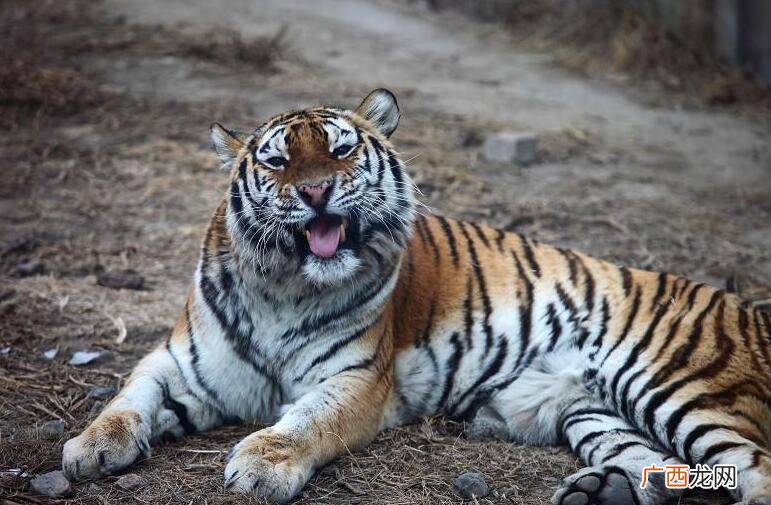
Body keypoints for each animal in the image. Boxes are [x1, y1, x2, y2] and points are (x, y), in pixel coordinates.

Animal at [62, 89, 771, 505]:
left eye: (341, 150)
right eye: (278, 162)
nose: (316, 190)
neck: (282, 287)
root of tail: (751, 310)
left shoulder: (357, 378)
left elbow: (308, 420)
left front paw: (263, 464)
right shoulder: (181, 363)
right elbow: (127, 398)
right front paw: (88, 449)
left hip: (680, 384)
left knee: (756, 470)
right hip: (593, 412)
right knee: (667, 474)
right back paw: (601, 491)